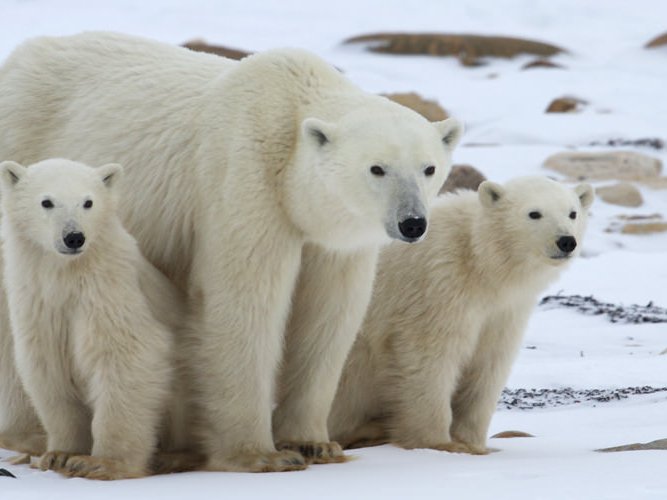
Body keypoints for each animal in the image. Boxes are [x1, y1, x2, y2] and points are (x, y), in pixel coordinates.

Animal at [0, 158, 187, 480]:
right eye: (47, 201)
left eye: (88, 202)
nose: (74, 237)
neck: (66, 274)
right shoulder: (37, 304)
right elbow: (48, 370)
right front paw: (59, 454)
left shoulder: (108, 291)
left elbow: (127, 356)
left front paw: (100, 463)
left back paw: (171, 457)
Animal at [328, 176, 594, 453]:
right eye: (534, 213)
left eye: (572, 213)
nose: (566, 241)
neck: (478, 259)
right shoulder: (438, 285)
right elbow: (428, 357)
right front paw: (438, 443)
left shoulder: (503, 311)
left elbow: (488, 365)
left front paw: (473, 442)